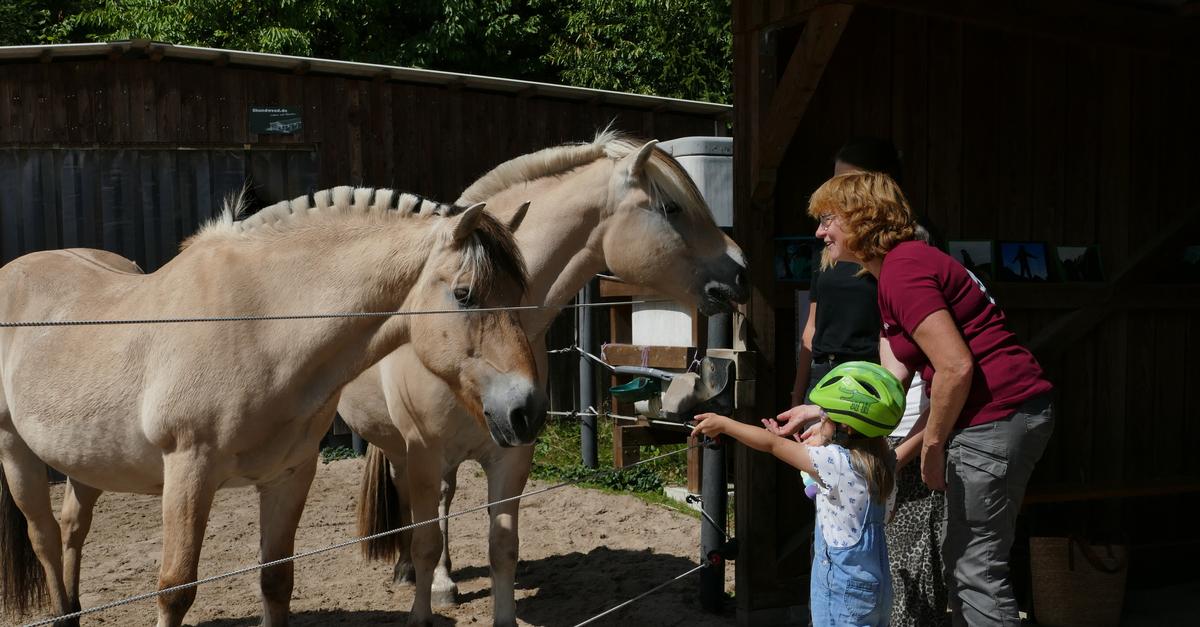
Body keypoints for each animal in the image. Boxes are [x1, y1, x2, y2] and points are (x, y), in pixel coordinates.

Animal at [0, 187, 545, 627]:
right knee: (44, 536)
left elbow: (276, 581)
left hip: (85, 461)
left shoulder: (289, 475)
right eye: (464, 294)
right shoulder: (188, 470)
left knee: (72, 529)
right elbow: (175, 590)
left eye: (521, 293)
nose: (528, 411)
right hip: (17, 453)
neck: (259, 325)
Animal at [341, 131, 749, 627]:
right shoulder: (424, 451)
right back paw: (418, 575)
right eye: (672, 208)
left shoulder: (512, 454)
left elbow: (502, 549)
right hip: (401, 448)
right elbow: (426, 540)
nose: (741, 270)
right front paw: (427, 593)